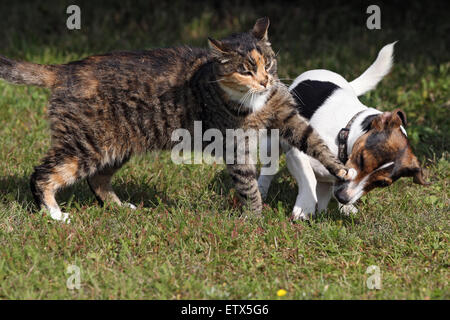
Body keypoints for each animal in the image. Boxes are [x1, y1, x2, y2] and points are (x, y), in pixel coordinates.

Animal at [0, 18, 352, 222]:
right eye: (245, 70)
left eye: (268, 62)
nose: (265, 80)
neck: (255, 103)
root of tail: (64, 69)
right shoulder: (234, 144)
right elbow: (247, 183)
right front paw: (255, 221)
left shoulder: (288, 117)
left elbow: (315, 142)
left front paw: (341, 168)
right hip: (85, 145)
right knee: (43, 174)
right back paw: (55, 214)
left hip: (116, 147)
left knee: (97, 179)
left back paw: (120, 208)